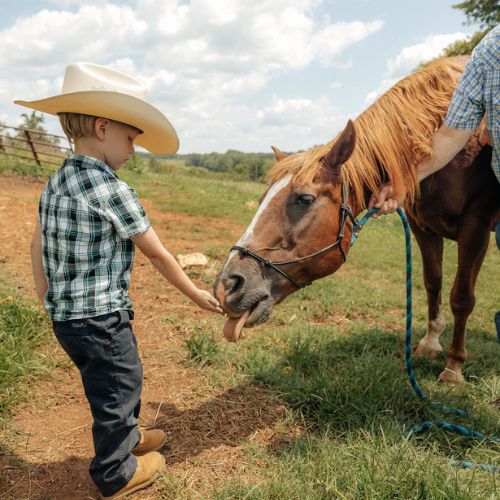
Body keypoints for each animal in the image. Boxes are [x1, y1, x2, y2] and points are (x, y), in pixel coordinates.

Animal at [215, 55, 500, 382]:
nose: (227, 285)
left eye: (304, 199)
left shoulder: (476, 228)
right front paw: (430, 342)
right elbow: (432, 282)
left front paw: (454, 365)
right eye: (262, 199)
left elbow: (462, 297)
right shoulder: (422, 227)